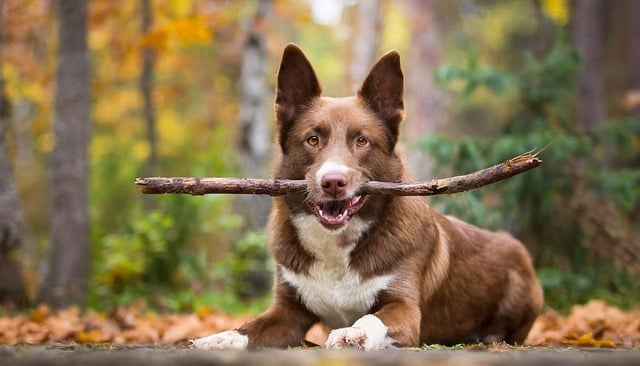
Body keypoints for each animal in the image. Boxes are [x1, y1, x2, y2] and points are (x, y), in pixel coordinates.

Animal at [191, 44, 544, 350]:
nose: (333, 182)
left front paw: (353, 334)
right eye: (313, 139)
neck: (337, 246)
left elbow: (372, 319)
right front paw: (219, 338)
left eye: (361, 141)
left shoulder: (404, 308)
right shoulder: (287, 311)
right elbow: (250, 326)